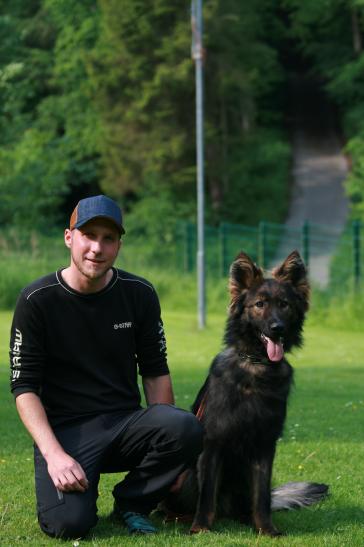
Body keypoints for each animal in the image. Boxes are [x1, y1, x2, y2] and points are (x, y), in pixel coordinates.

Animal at [164, 250, 328, 536]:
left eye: (284, 304)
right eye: (259, 304)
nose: (277, 328)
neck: (257, 366)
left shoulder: (265, 445)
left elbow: (261, 497)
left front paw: (267, 529)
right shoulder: (213, 444)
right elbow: (207, 495)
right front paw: (200, 528)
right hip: (184, 477)